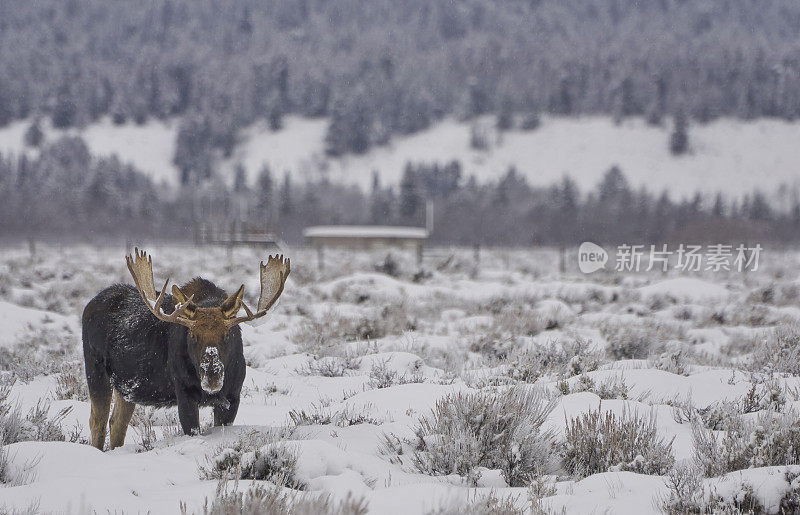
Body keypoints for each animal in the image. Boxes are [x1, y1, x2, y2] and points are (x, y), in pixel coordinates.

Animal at [80, 248, 290, 450]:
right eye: (192, 335)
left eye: (227, 334)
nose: (211, 375)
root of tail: (89, 304)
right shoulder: (184, 392)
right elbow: (192, 429)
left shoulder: (233, 396)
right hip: (95, 368)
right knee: (97, 421)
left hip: (126, 387)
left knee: (117, 423)